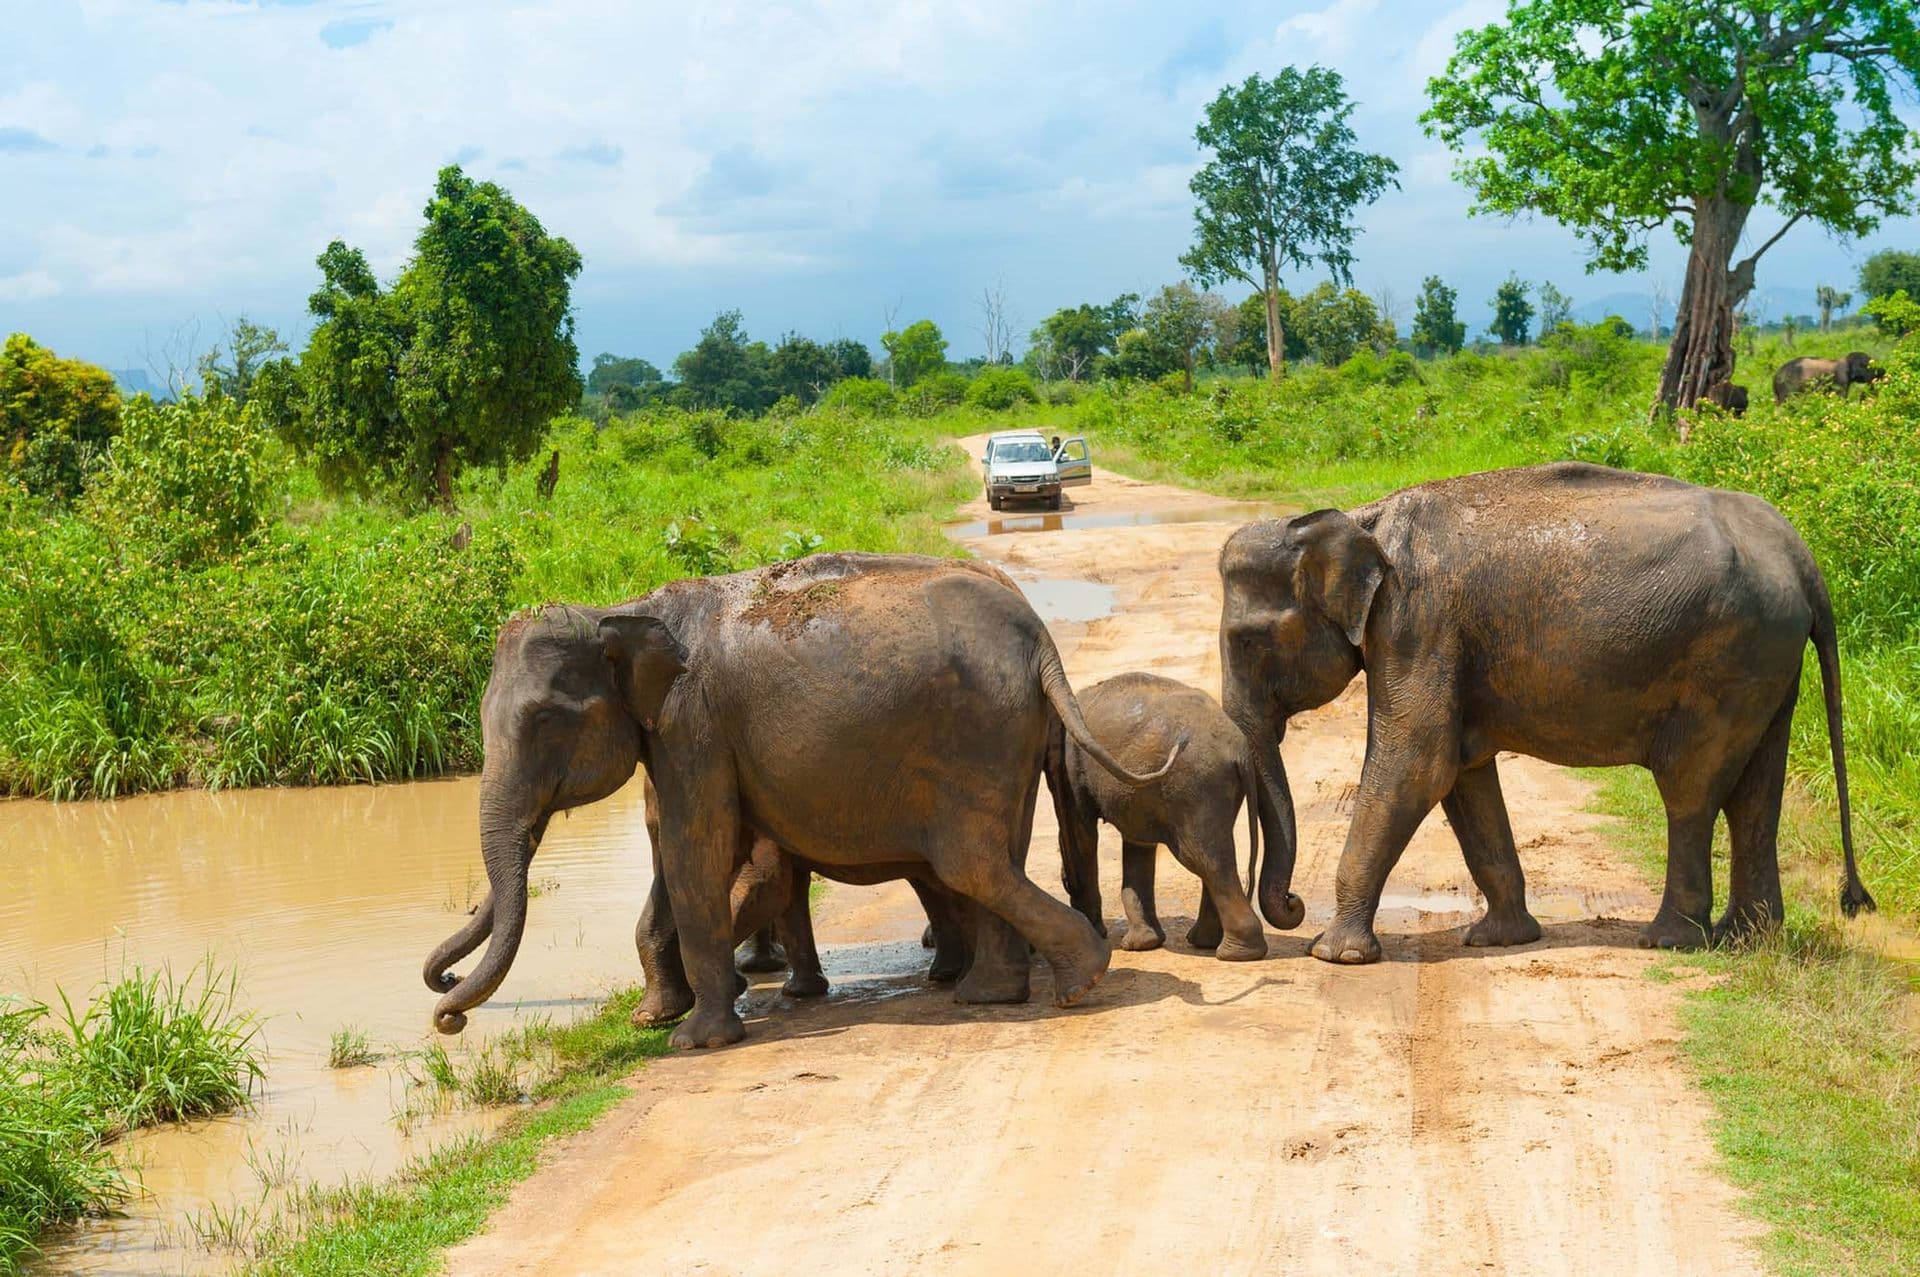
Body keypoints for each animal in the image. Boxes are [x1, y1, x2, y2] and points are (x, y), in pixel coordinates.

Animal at [422, 552, 1179, 1049]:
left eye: (545, 721)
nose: (447, 1011)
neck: (620, 610)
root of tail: (1040, 638)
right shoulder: (683, 736)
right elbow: (683, 848)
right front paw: (659, 1019)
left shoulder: (693, 722)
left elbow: (698, 850)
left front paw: (693, 1041)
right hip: (1006, 734)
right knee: (994, 858)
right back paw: (995, 992)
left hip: (979, 731)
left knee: (972, 863)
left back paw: (1076, 982)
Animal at [1053, 672, 1286, 960]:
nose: (1063, 878)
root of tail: (1240, 751)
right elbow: (1138, 844)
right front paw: (1142, 944)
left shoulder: (1070, 768)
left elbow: (1080, 831)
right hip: (1215, 787)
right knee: (1214, 853)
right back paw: (1206, 942)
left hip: (1196, 785)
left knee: (1204, 859)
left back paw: (1235, 953)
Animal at [1218, 461, 1875, 966]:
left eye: (1248, 641)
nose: (1291, 907)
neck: (1358, 519)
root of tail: (1800, 554)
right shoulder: (1437, 638)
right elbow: (1464, 775)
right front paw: (1497, 940)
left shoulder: (1417, 622)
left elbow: (1419, 764)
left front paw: (1336, 956)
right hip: (1768, 659)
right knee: (1754, 794)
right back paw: (1747, 939)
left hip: (1728, 656)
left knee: (1690, 788)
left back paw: (1670, 941)